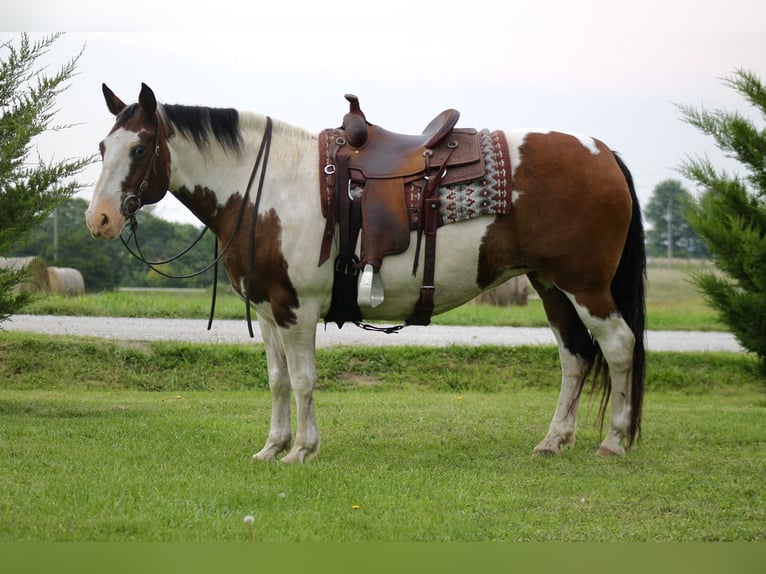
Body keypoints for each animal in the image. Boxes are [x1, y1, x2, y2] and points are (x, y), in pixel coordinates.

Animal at [85, 83, 648, 466]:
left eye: (139, 149)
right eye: (102, 148)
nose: (100, 219)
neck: (270, 187)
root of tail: (604, 153)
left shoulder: (296, 311)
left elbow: (304, 379)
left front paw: (302, 450)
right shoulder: (268, 312)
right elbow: (277, 380)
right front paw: (272, 447)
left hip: (586, 286)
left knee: (619, 345)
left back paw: (614, 441)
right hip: (550, 285)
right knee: (575, 355)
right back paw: (554, 440)